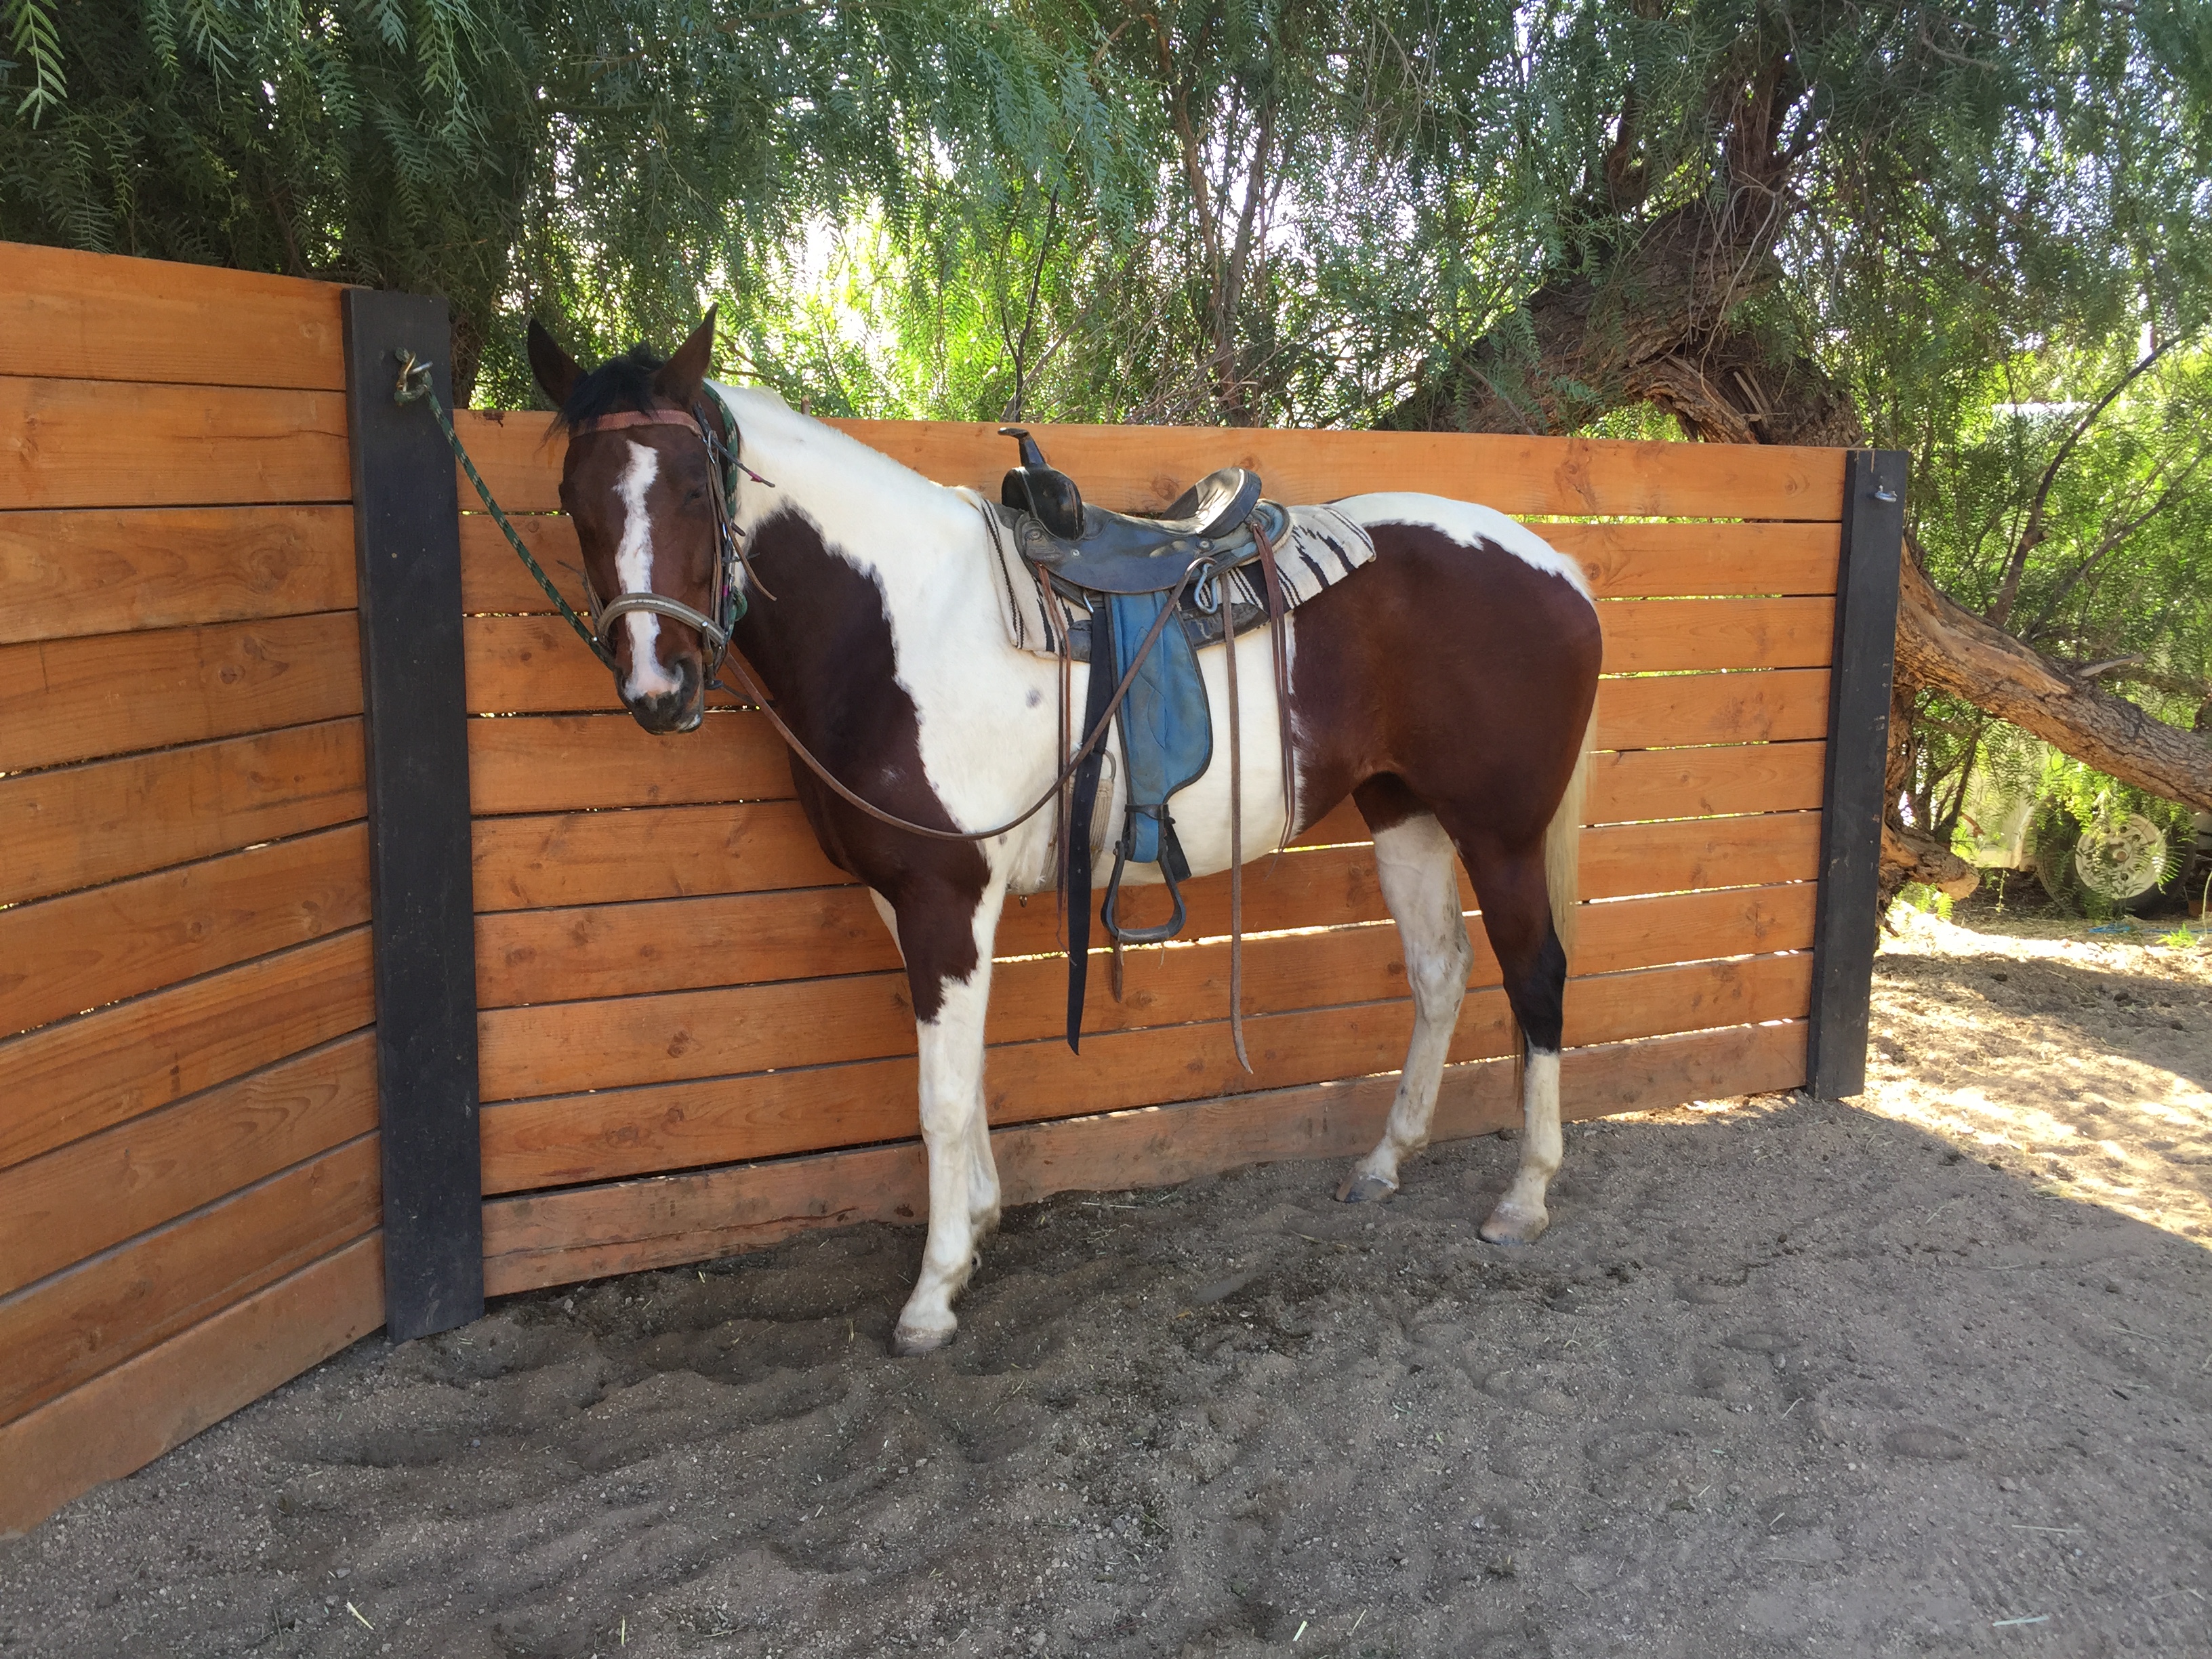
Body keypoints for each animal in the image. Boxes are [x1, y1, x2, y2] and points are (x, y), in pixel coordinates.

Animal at [524, 312, 1603, 1355]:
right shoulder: (907, 902)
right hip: (1403, 808)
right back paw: (1385, 1161)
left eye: (694, 489)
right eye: (574, 499)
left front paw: (934, 1294)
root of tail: (1558, 567)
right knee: (1440, 970)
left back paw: (1525, 1197)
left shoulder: (947, 897)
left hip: (1499, 831)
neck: (897, 625)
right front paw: (979, 1227)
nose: (658, 688)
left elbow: (940, 1098)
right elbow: (966, 1074)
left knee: (1536, 974)